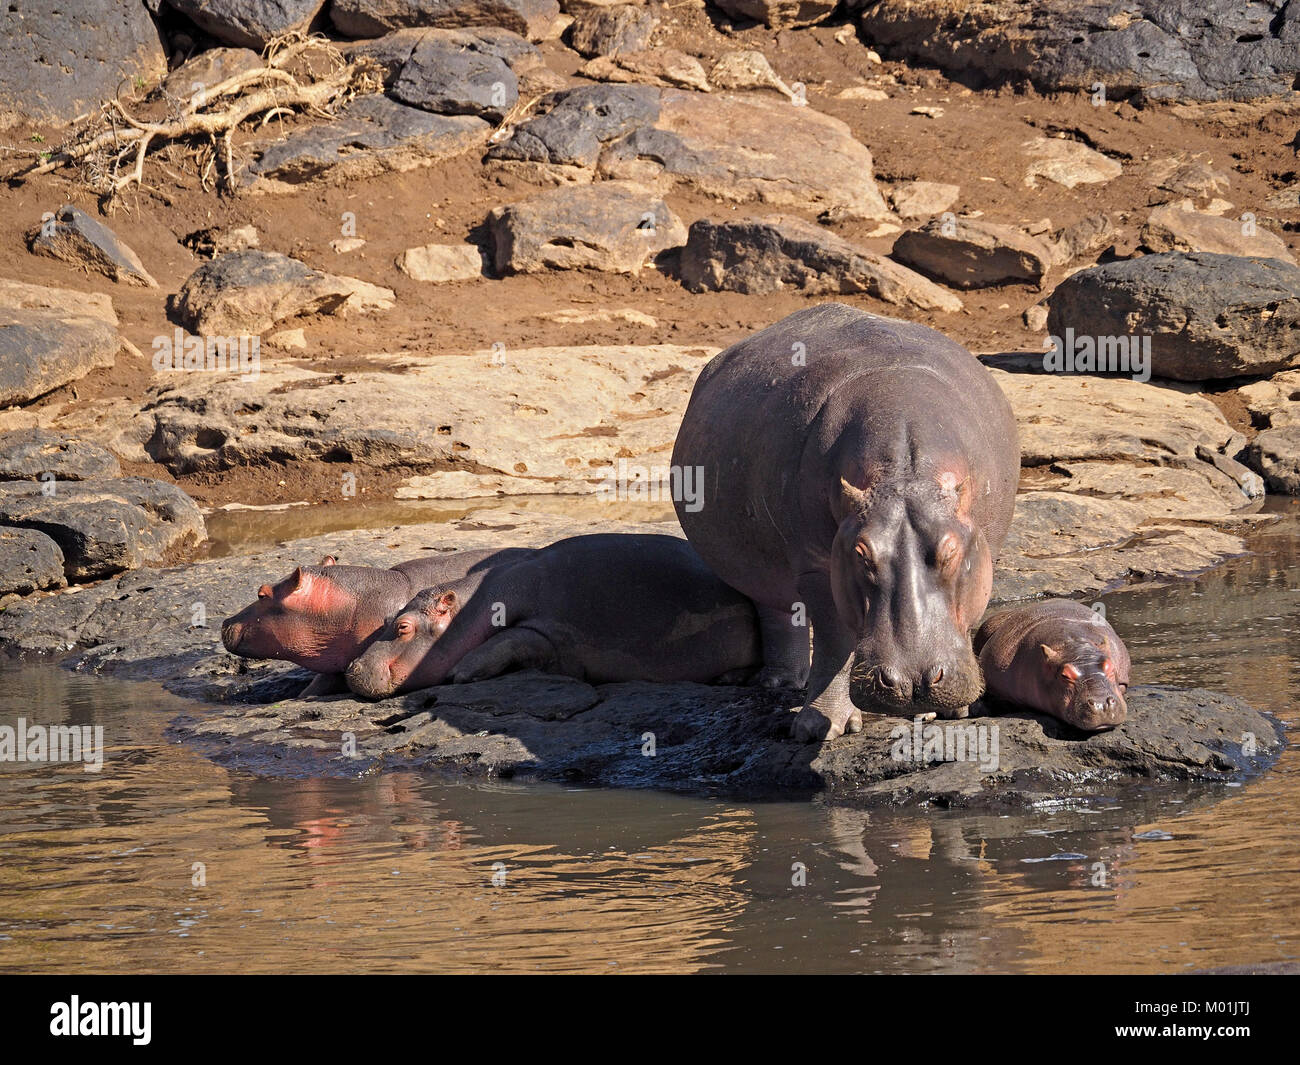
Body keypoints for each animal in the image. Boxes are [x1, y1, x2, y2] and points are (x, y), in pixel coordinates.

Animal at [351, 533, 764, 702]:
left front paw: (461, 673)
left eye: (403, 627)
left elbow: (510, 639)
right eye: (386, 620)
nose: (352, 668)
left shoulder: (550, 633)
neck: (473, 605)